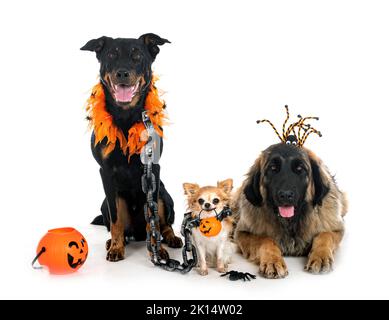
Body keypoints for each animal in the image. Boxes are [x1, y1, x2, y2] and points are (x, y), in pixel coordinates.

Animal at [80, 33, 183, 262]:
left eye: (137, 56)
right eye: (111, 54)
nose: (122, 73)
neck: (126, 117)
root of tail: (137, 233)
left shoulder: (154, 169)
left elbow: (153, 218)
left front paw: (157, 252)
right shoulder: (106, 172)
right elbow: (116, 220)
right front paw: (116, 247)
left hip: (164, 195)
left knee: (164, 224)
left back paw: (171, 239)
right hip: (104, 203)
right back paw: (114, 241)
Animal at [232, 144, 348, 278]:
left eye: (299, 169)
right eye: (273, 168)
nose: (286, 195)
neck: (290, 222)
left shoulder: (335, 228)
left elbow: (325, 236)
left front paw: (320, 257)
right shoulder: (243, 233)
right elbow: (265, 240)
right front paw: (272, 261)